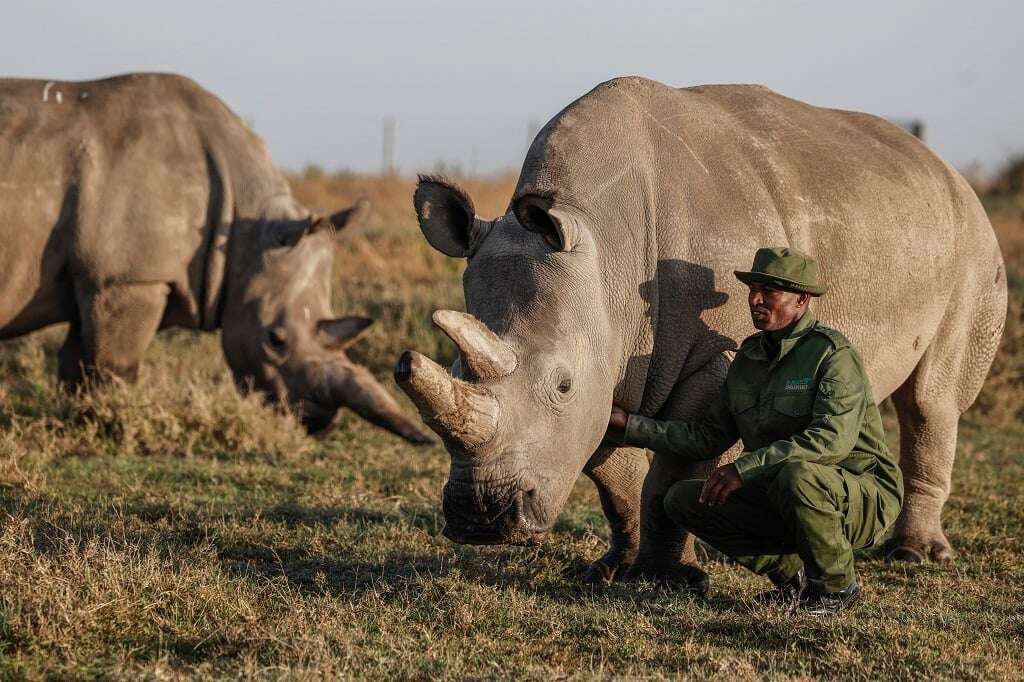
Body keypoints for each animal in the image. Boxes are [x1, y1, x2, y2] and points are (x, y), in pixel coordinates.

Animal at [0, 70, 432, 440]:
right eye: (275, 339)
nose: (317, 422)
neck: (244, 230)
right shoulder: (132, 278)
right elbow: (113, 366)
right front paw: (107, 424)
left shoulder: (99, 275)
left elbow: (78, 363)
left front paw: (77, 419)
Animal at [397, 78, 1007, 577]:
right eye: (449, 365)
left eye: (562, 384)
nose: (481, 519)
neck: (605, 248)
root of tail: (944, 168)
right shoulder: (607, 361)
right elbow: (613, 469)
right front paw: (615, 570)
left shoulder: (714, 356)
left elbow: (675, 468)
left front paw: (669, 578)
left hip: (973, 242)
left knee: (930, 399)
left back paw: (915, 556)